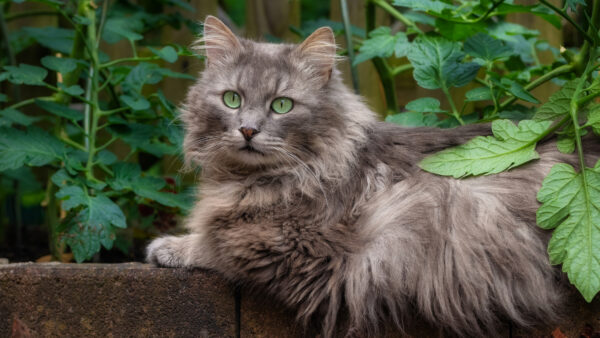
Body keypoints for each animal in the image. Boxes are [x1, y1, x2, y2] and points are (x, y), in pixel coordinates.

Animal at [145, 14, 596, 336]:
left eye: (282, 105)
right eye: (232, 99)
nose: (248, 130)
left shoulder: (291, 249)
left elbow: (215, 246)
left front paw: (170, 247)